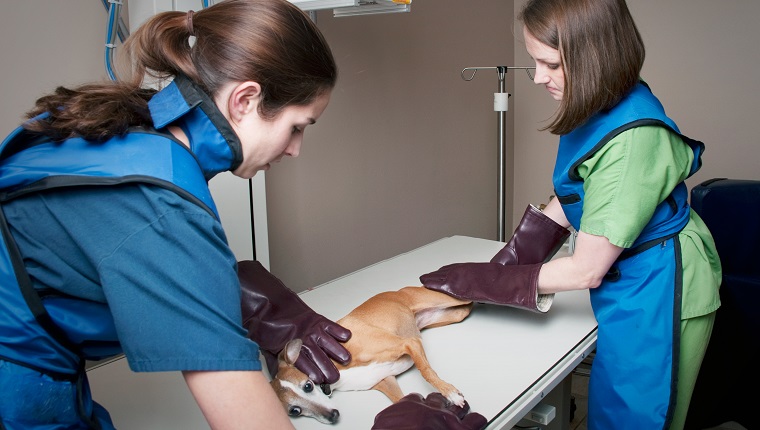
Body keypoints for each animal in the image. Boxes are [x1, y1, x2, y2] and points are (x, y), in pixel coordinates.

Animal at [270, 286, 472, 424]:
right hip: (453, 314)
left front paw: (450, 393)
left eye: (308, 386)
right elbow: (403, 401)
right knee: (467, 309)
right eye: (294, 411)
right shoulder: (386, 380)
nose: (332, 416)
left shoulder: (409, 343)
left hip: (451, 300)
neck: (335, 366)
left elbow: (426, 371)